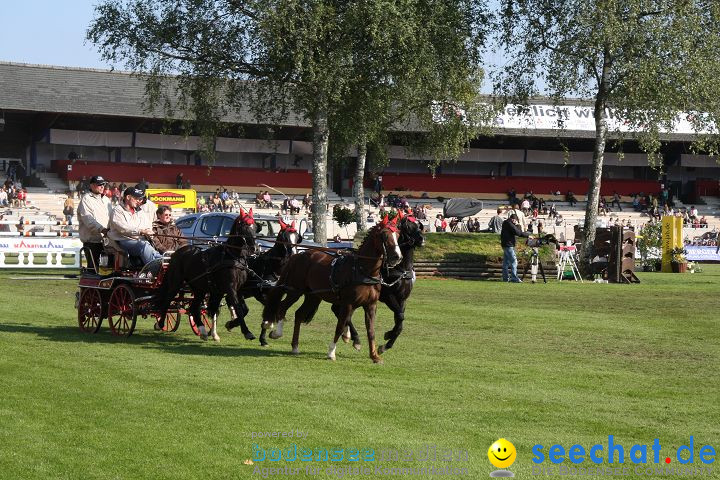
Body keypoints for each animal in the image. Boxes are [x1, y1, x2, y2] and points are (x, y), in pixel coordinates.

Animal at [153, 209, 260, 342]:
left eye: (255, 227)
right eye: (244, 227)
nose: (255, 248)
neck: (232, 257)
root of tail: (176, 253)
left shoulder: (235, 289)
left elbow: (243, 310)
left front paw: (230, 325)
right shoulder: (230, 288)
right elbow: (238, 309)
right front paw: (246, 332)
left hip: (199, 288)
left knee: (194, 307)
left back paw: (202, 330)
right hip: (175, 282)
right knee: (167, 300)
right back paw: (160, 323)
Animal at [262, 216, 402, 362]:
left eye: (398, 234)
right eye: (385, 235)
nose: (397, 257)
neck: (362, 270)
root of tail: (297, 255)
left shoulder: (371, 305)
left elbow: (371, 330)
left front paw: (374, 355)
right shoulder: (348, 304)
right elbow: (340, 326)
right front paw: (331, 352)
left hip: (313, 296)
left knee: (299, 314)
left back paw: (295, 346)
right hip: (295, 290)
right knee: (282, 306)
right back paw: (277, 333)